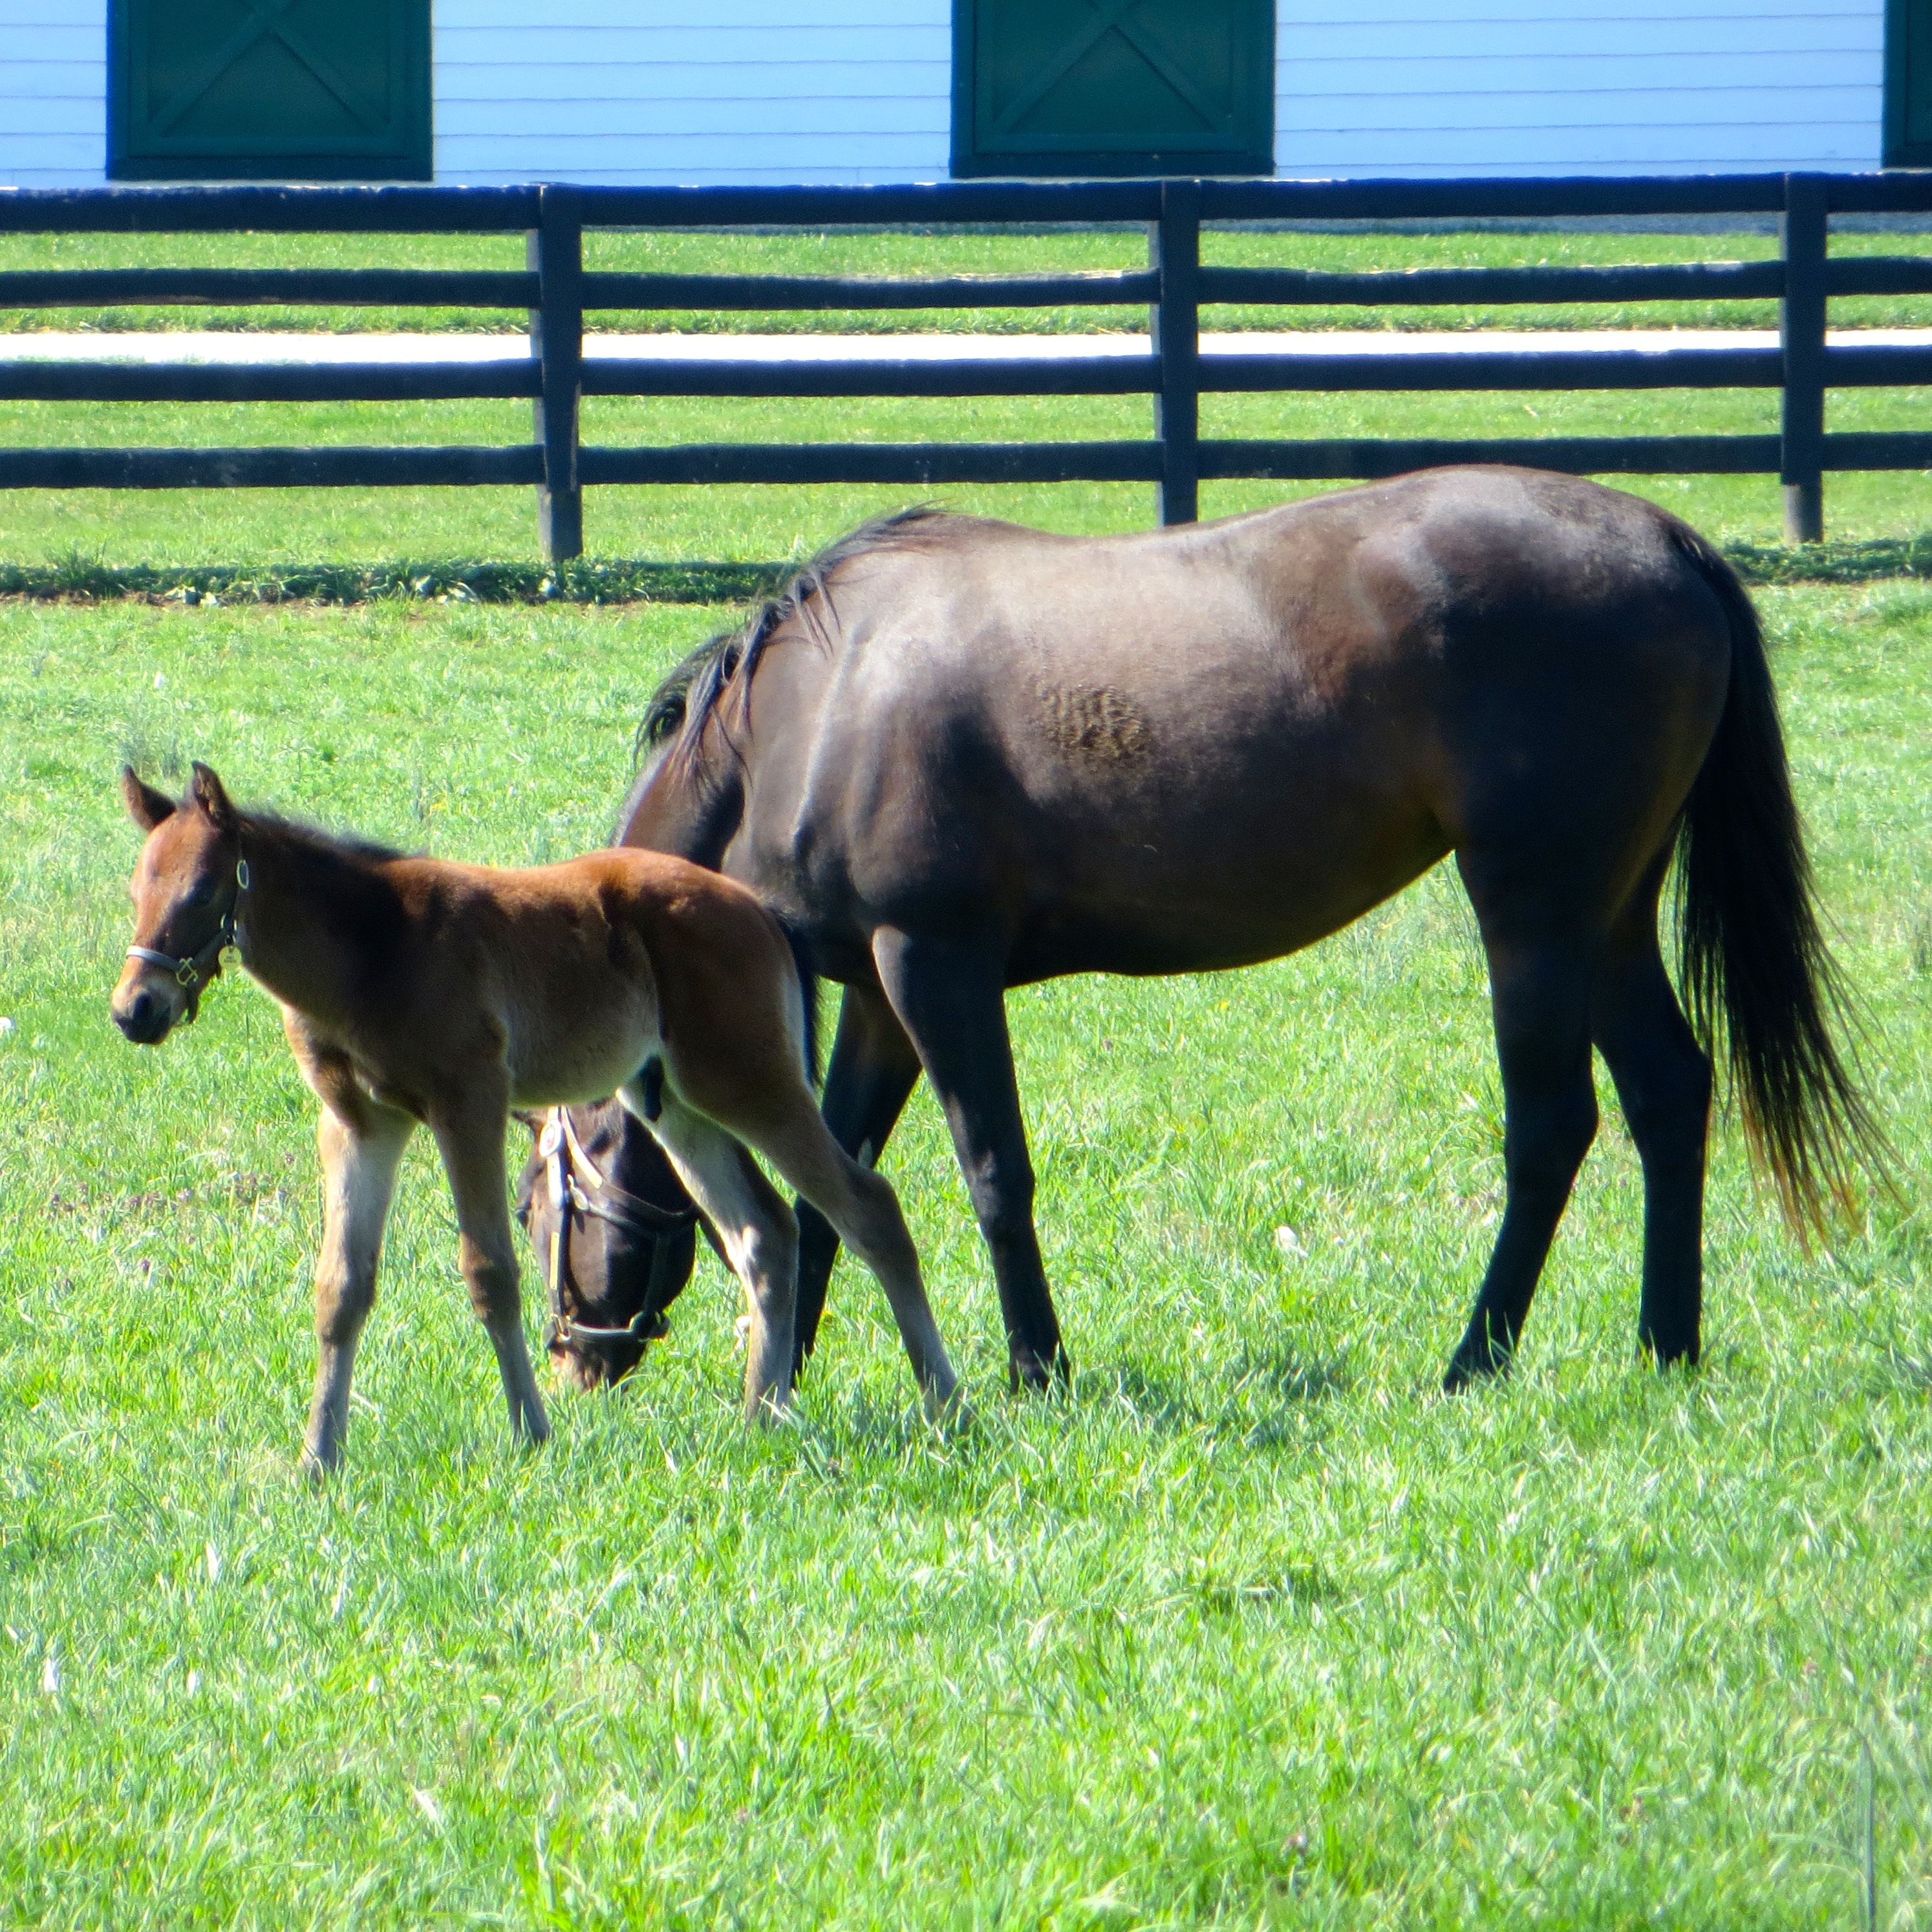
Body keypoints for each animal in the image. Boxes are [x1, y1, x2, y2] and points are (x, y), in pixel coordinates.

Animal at [110, 762, 960, 1473]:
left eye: (201, 892)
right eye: (134, 892)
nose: (134, 1010)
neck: (373, 949)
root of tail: (760, 910)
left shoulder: (469, 1101)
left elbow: (489, 1271)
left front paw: (530, 1432)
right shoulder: (357, 1123)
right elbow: (341, 1287)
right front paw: (319, 1458)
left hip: (749, 1081)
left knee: (867, 1208)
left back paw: (944, 1402)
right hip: (678, 1104)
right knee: (765, 1233)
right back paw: (763, 1415)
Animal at [528, 467, 1883, 1397]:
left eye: (543, 1198)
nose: (575, 1360)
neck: (812, 712)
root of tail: (1667, 539)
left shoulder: (936, 966)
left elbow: (991, 1171)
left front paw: (1035, 1371)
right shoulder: (875, 993)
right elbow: (833, 1185)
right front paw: (802, 1370)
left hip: (1534, 912)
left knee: (1552, 1126)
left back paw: (1473, 1359)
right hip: (1607, 910)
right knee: (1667, 1091)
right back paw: (1664, 1345)